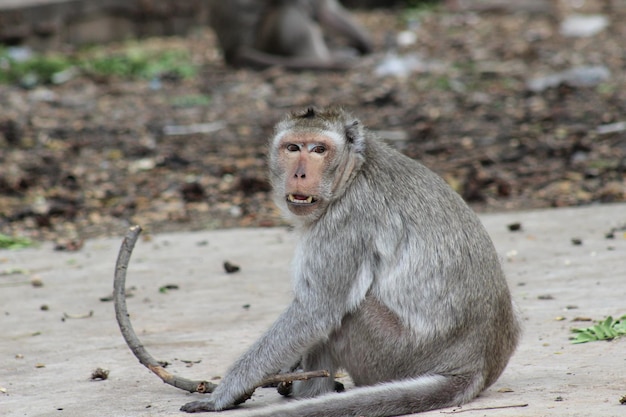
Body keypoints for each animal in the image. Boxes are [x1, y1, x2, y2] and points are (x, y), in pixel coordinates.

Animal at [178, 105, 520, 414]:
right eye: (293, 147)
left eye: (319, 150)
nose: (300, 173)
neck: (353, 172)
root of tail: (476, 366)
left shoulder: (346, 223)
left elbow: (315, 311)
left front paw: (223, 394)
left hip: (394, 355)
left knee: (346, 312)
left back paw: (309, 393)